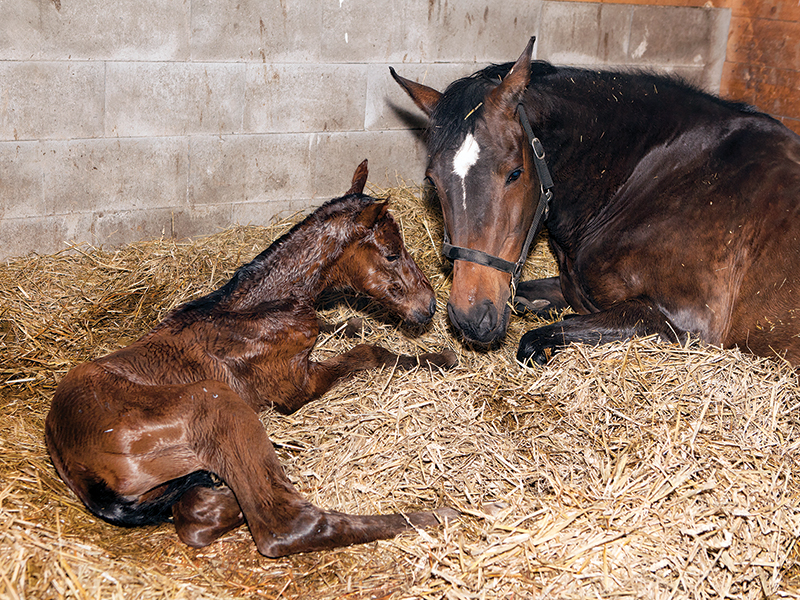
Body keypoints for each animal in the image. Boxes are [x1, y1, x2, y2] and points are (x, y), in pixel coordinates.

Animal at [47, 161, 460, 556]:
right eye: (391, 253)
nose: (429, 306)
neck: (260, 309)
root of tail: (71, 458)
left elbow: (338, 328)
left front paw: (353, 323)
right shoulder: (297, 386)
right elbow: (369, 353)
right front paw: (440, 357)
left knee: (197, 510)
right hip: (215, 401)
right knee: (283, 524)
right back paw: (436, 514)